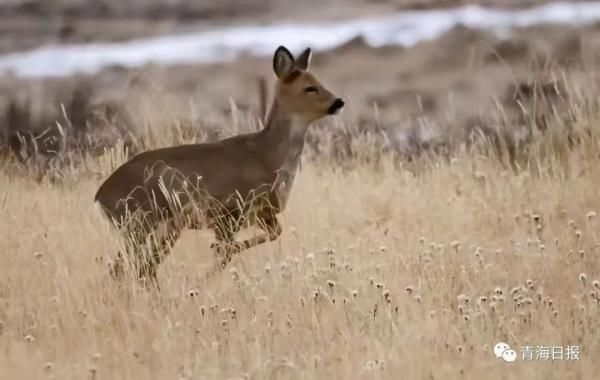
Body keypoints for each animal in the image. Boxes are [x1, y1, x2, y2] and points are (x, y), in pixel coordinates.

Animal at [95, 45, 346, 288]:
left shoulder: (260, 213)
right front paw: (207, 271)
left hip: (160, 226)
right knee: (128, 268)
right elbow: (227, 253)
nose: (338, 102)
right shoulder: (230, 209)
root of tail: (99, 198)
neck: (269, 157)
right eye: (310, 88)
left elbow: (274, 233)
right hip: (138, 222)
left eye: (318, 82)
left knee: (142, 268)